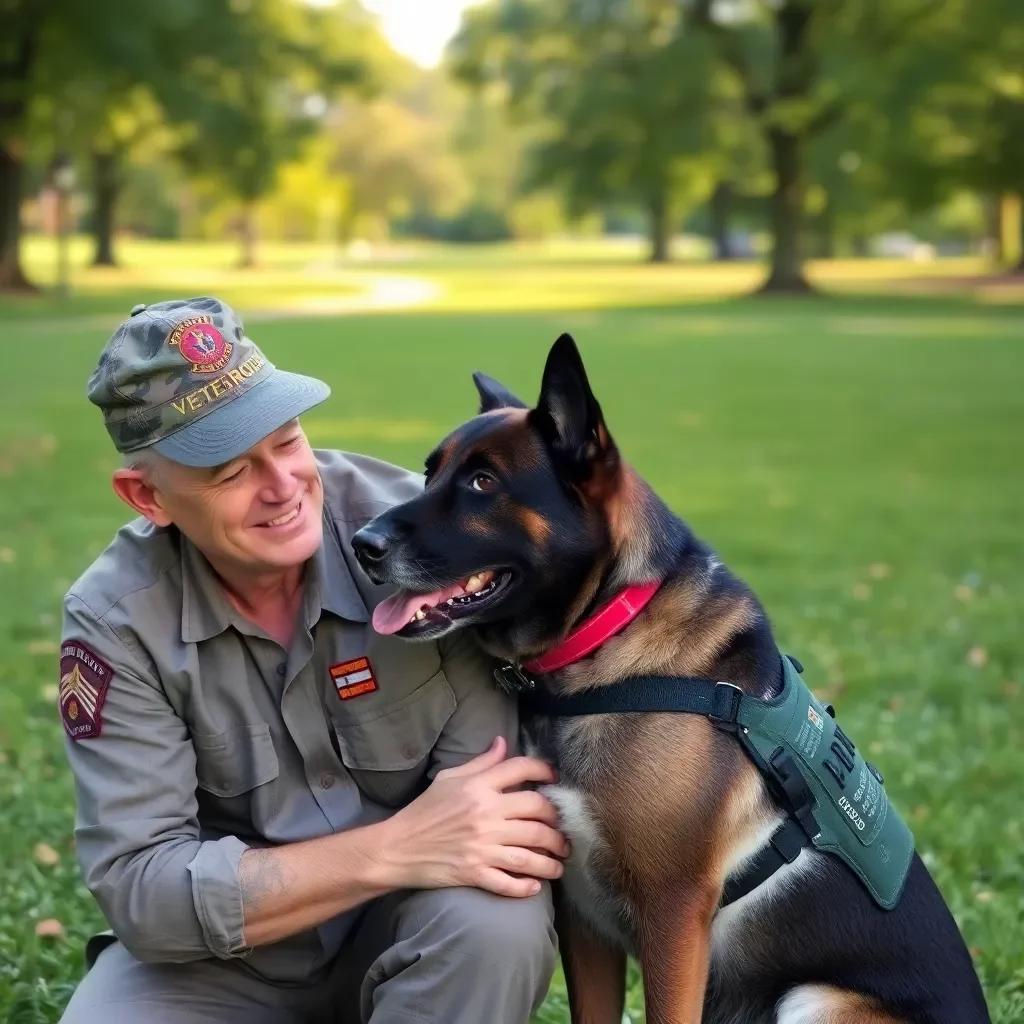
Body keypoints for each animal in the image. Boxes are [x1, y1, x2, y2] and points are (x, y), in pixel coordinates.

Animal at [352, 335, 991, 1024]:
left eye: (482, 482)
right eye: (430, 474)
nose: (363, 543)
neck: (608, 634)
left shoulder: (674, 917)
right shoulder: (582, 915)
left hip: (815, 1000)